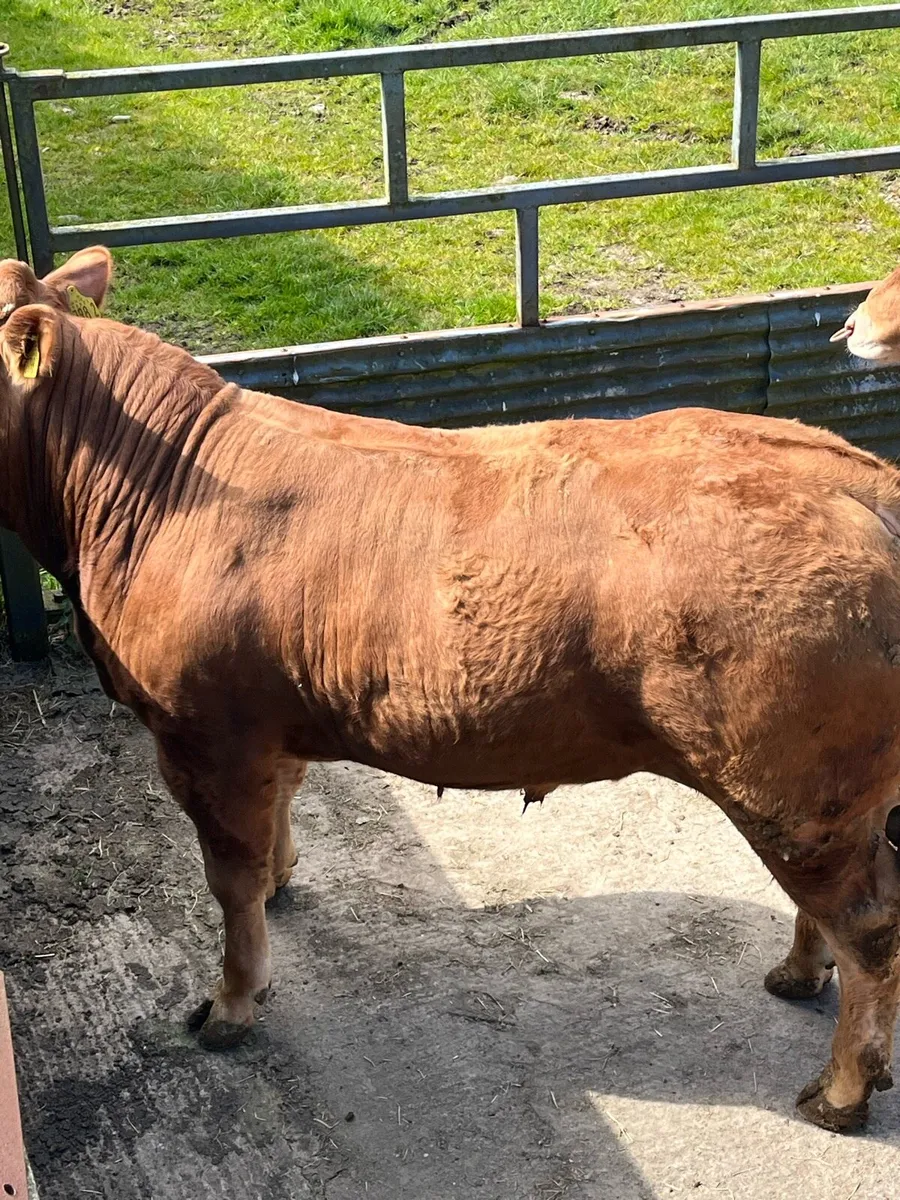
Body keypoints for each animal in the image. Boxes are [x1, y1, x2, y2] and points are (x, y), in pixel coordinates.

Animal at [4, 254, 900, 1134]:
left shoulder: (203, 736)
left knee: (869, 926)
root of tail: (861, 480)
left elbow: (229, 881)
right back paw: (797, 973)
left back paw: (842, 1090)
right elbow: (276, 821)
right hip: (818, 797)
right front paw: (282, 877)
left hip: (795, 787)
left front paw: (231, 1002)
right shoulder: (266, 726)